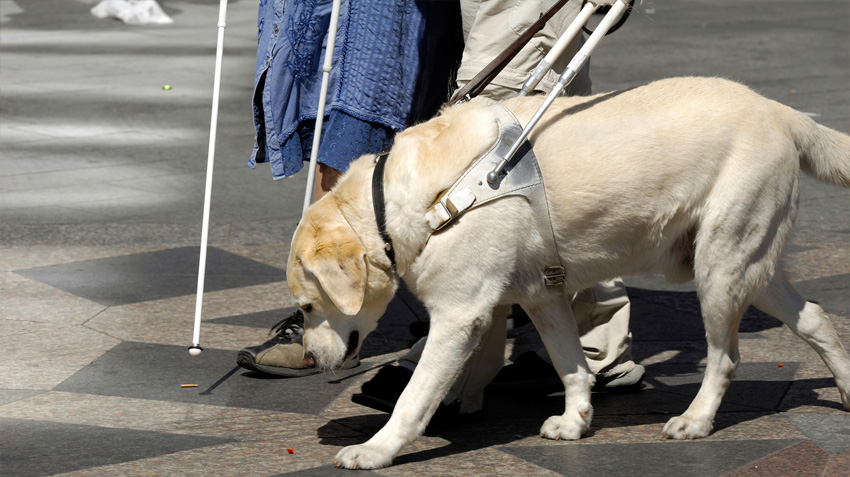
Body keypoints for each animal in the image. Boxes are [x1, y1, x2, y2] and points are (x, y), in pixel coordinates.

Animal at [284, 78, 848, 468]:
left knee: (726, 357)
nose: (309, 358)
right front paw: (577, 420)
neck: (424, 199)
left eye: (309, 307)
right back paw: (846, 388)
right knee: (816, 316)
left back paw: (697, 419)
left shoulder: (459, 316)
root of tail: (779, 110)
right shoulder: (543, 295)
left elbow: (413, 398)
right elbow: (570, 363)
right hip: (751, 266)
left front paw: (377, 450)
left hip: (720, 268)